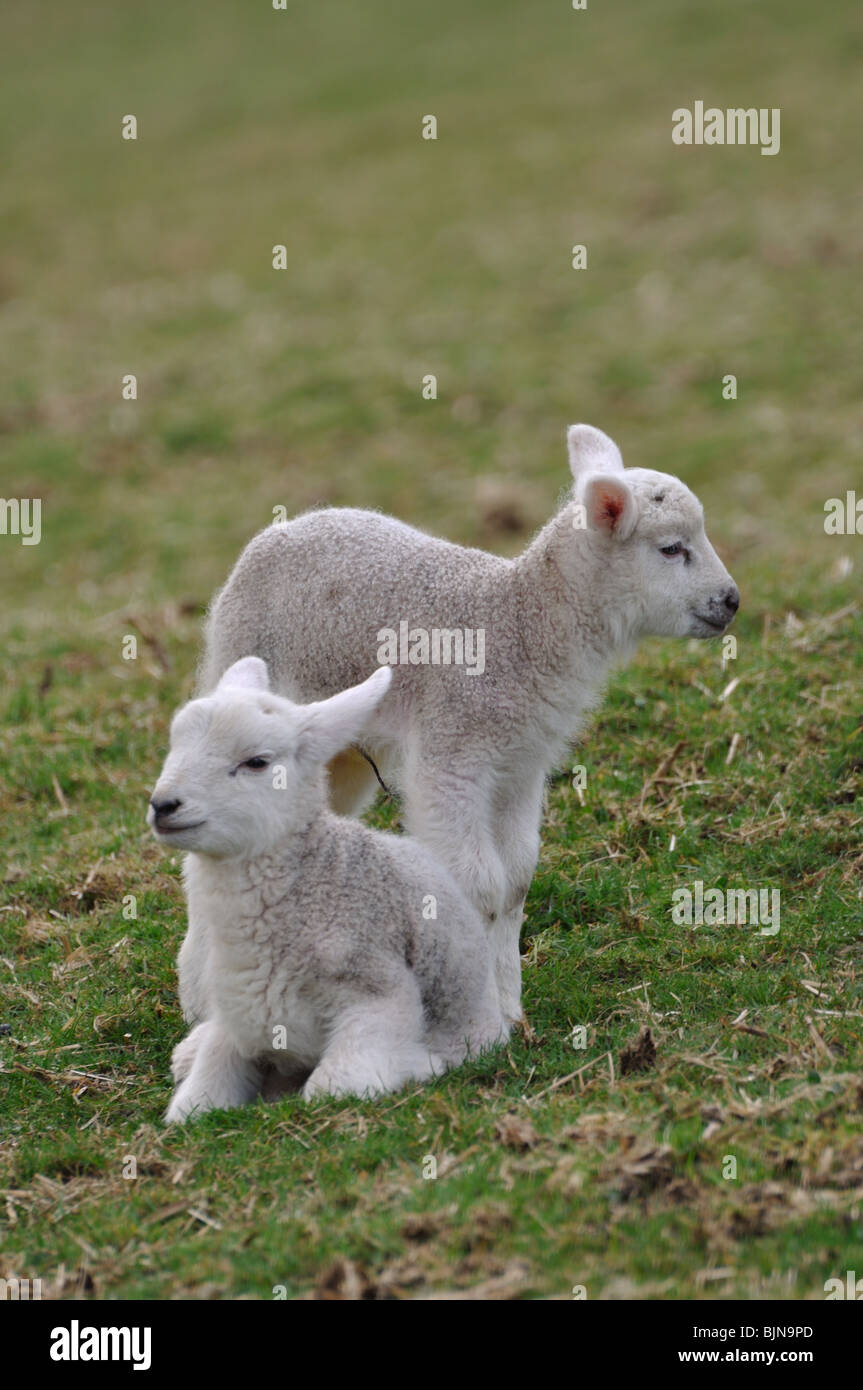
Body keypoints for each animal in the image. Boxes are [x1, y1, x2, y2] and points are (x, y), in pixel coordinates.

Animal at [147, 656, 505, 1123]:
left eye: (257, 761)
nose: (163, 805)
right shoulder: (239, 1022)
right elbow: (193, 1106)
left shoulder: (381, 993)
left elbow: (331, 1089)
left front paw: (414, 1066)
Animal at [198, 422, 739, 1023]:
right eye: (672, 548)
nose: (731, 601)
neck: (519, 625)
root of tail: (279, 532)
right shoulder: (453, 756)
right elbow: (480, 888)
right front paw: (482, 1018)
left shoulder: (520, 766)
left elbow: (516, 883)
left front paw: (511, 1007)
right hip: (238, 666)